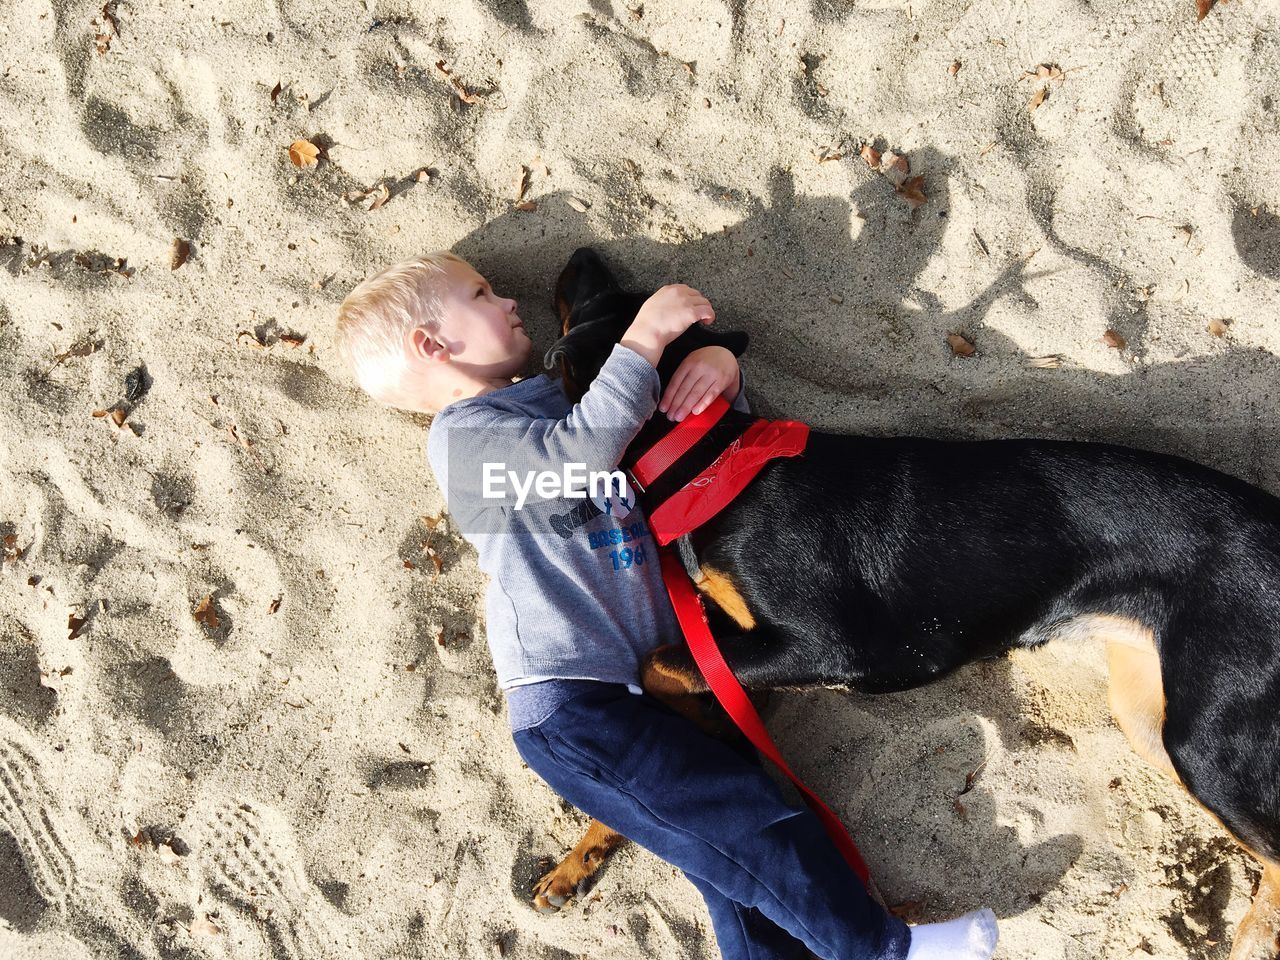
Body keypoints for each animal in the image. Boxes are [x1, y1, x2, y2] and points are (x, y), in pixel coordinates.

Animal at [529, 245, 1280, 957]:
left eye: (597, 300)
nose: (582, 254)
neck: (707, 463)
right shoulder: (740, 662)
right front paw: (580, 858)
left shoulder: (826, 645)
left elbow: (657, 666)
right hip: (1149, 715)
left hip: (1202, 740)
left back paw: (1256, 935)